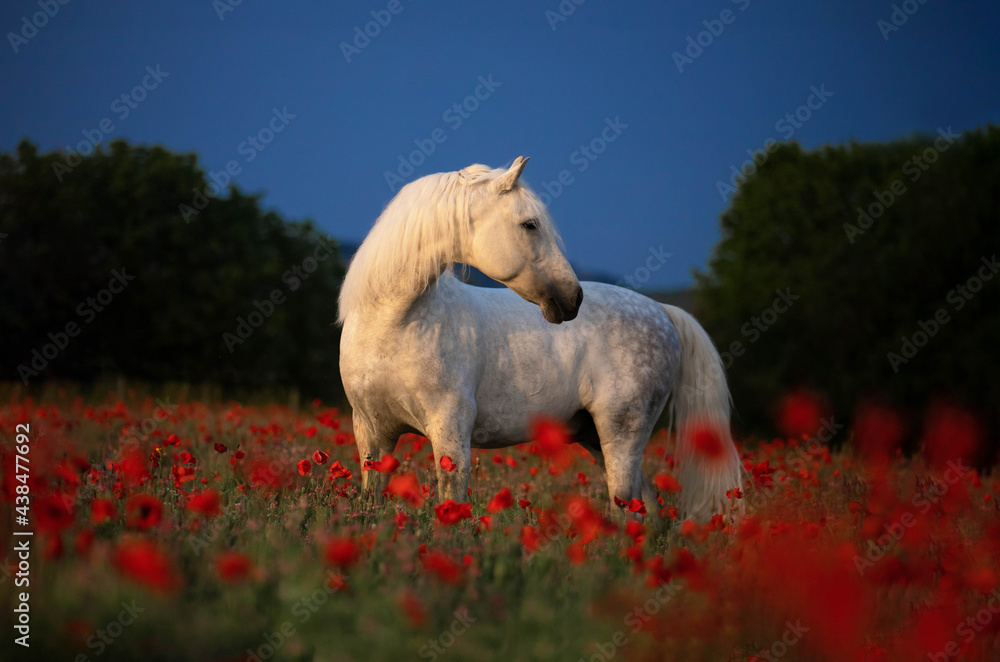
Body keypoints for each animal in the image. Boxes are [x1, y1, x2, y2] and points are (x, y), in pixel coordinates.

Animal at [338, 156, 742, 523]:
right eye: (529, 224)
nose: (573, 298)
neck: (394, 325)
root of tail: (661, 310)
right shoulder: (372, 434)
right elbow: (372, 499)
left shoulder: (450, 432)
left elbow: (450, 504)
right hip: (595, 438)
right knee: (649, 507)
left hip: (621, 435)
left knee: (625, 506)